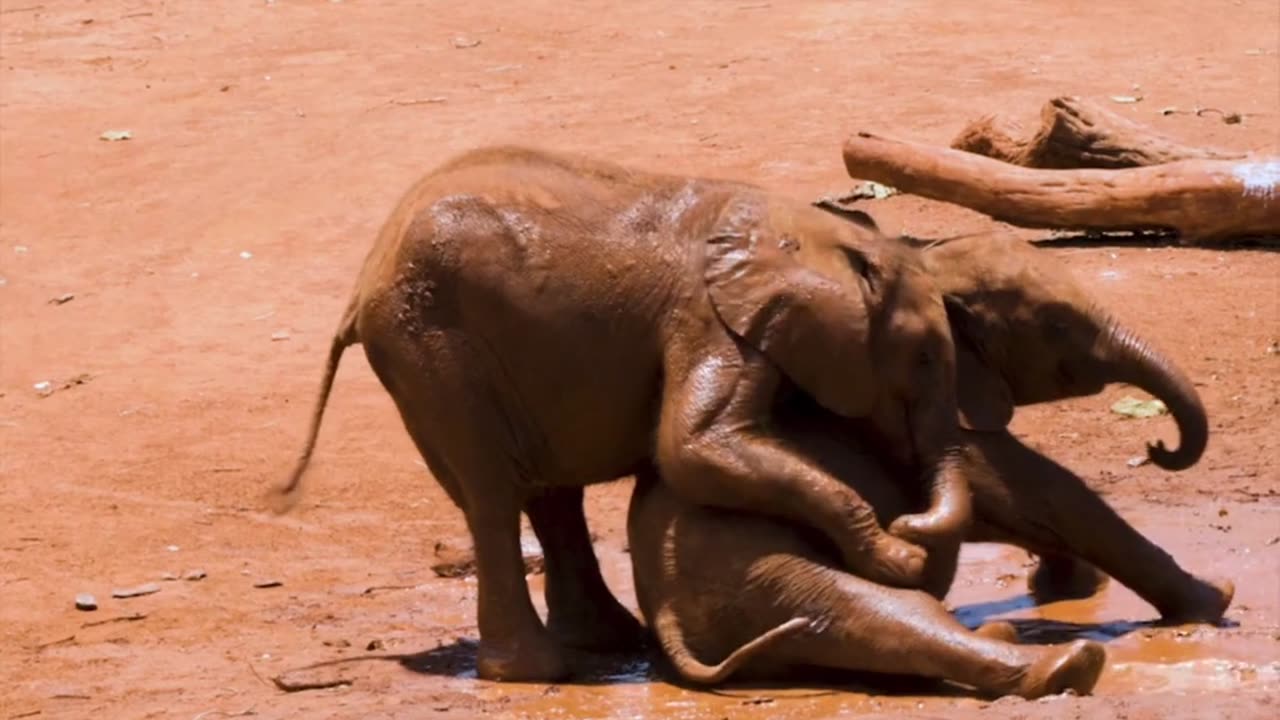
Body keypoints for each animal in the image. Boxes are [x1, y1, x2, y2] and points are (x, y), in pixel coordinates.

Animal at [270, 144, 993, 676]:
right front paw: (895, 561)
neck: (807, 229)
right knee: (494, 498)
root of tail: (362, 282)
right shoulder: (708, 321)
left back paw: (610, 643)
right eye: (926, 356)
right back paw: (541, 671)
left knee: (548, 495)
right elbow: (695, 449)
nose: (911, 523)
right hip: (433, 346)